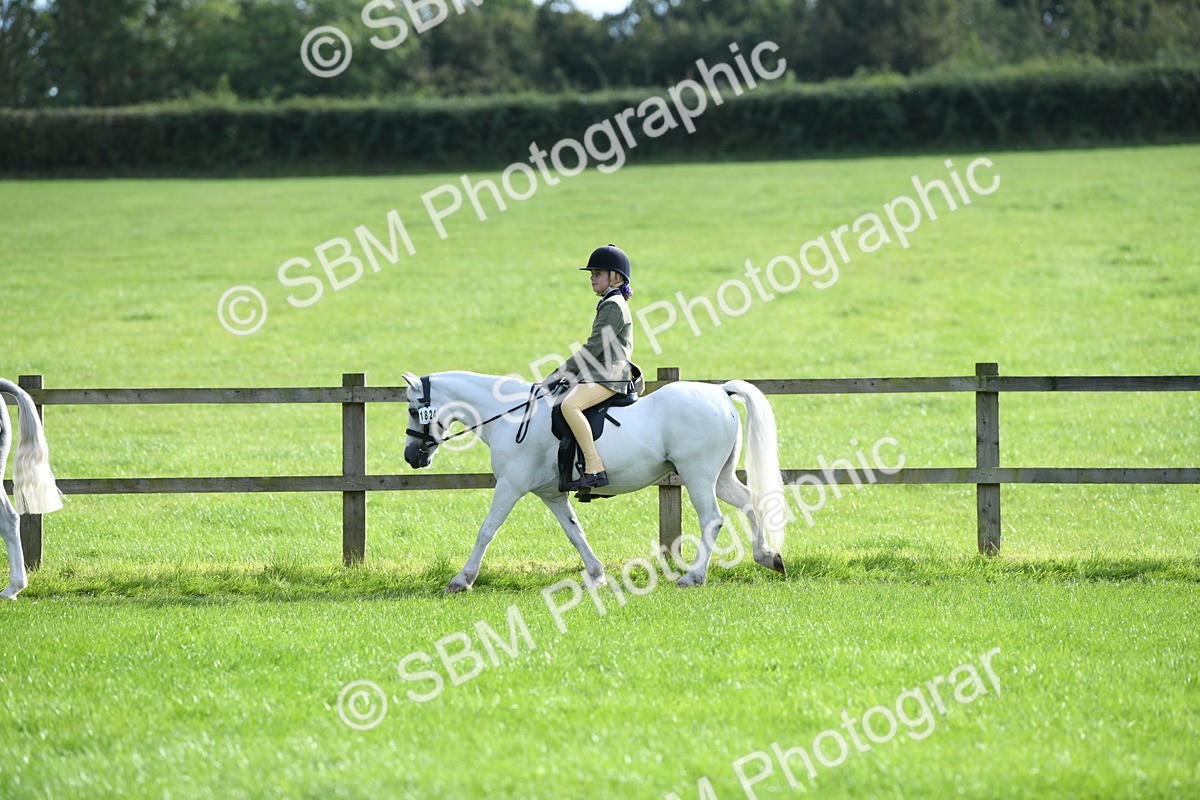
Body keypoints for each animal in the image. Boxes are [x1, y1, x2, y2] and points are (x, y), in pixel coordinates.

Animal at [401, 371, 788, 593]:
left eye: (412, 409)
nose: (411, 457)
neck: (511, 416)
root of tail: (720, 392)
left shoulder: (510, 486)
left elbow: (486, 530)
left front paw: (461, 580)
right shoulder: (551, 495)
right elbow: (575, 533)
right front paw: (597, 574)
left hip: (697, 474)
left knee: (712, 519)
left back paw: (693, 577)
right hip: (719, 476)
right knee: (751, 502)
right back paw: (768, 556)